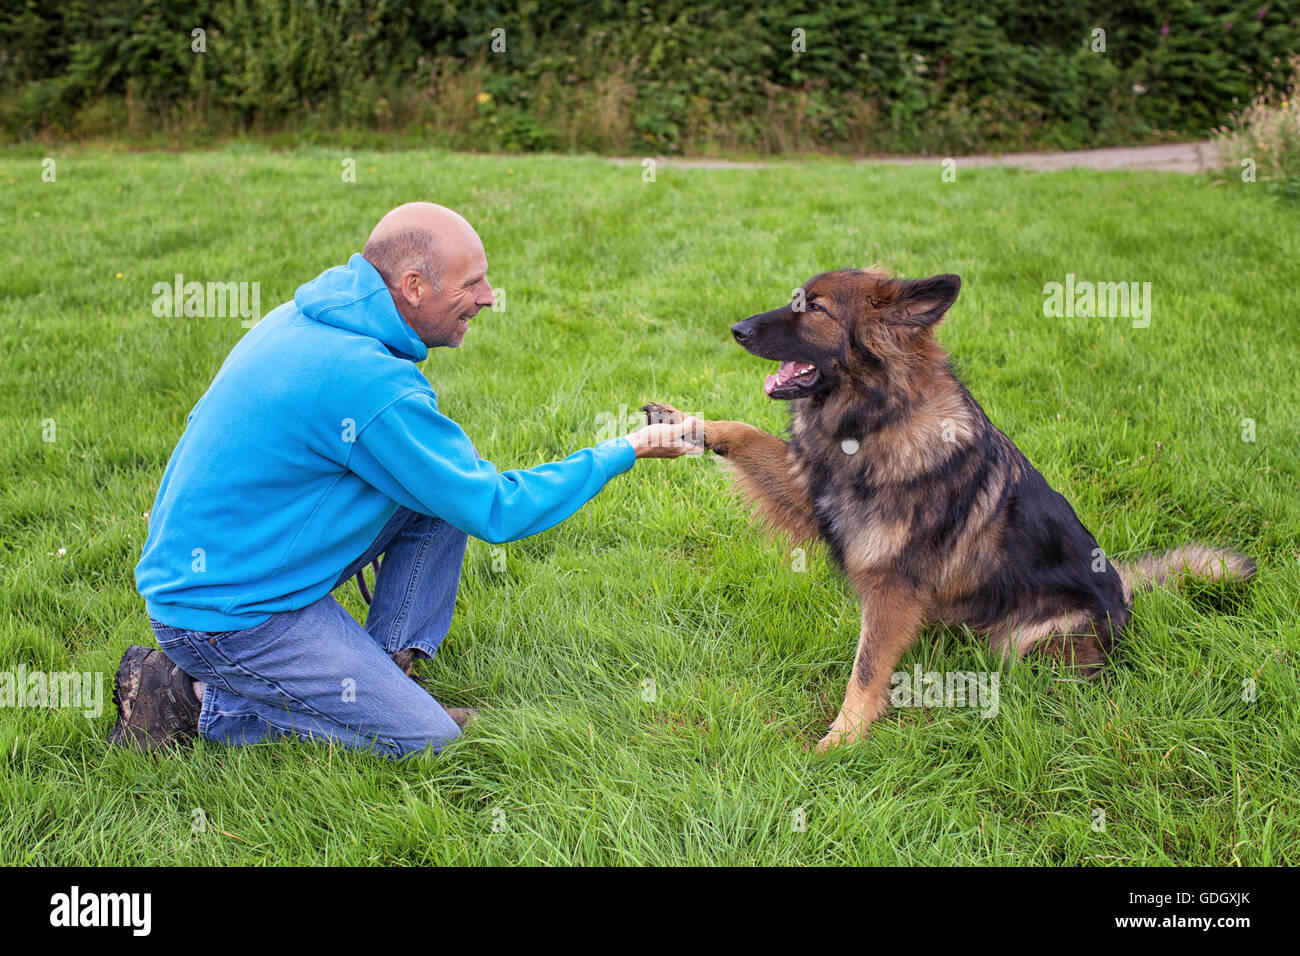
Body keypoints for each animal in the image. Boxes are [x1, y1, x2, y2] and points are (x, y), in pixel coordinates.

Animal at [644, 270, 1253, 754]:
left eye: (814, 308)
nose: (737, 329)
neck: (876, 419)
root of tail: (1125, 593)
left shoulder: (893, 583)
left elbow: (866, 668)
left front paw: (842, 740)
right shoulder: (809, 492)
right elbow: (746, 433)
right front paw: (682, 424)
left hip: (1027, 641)